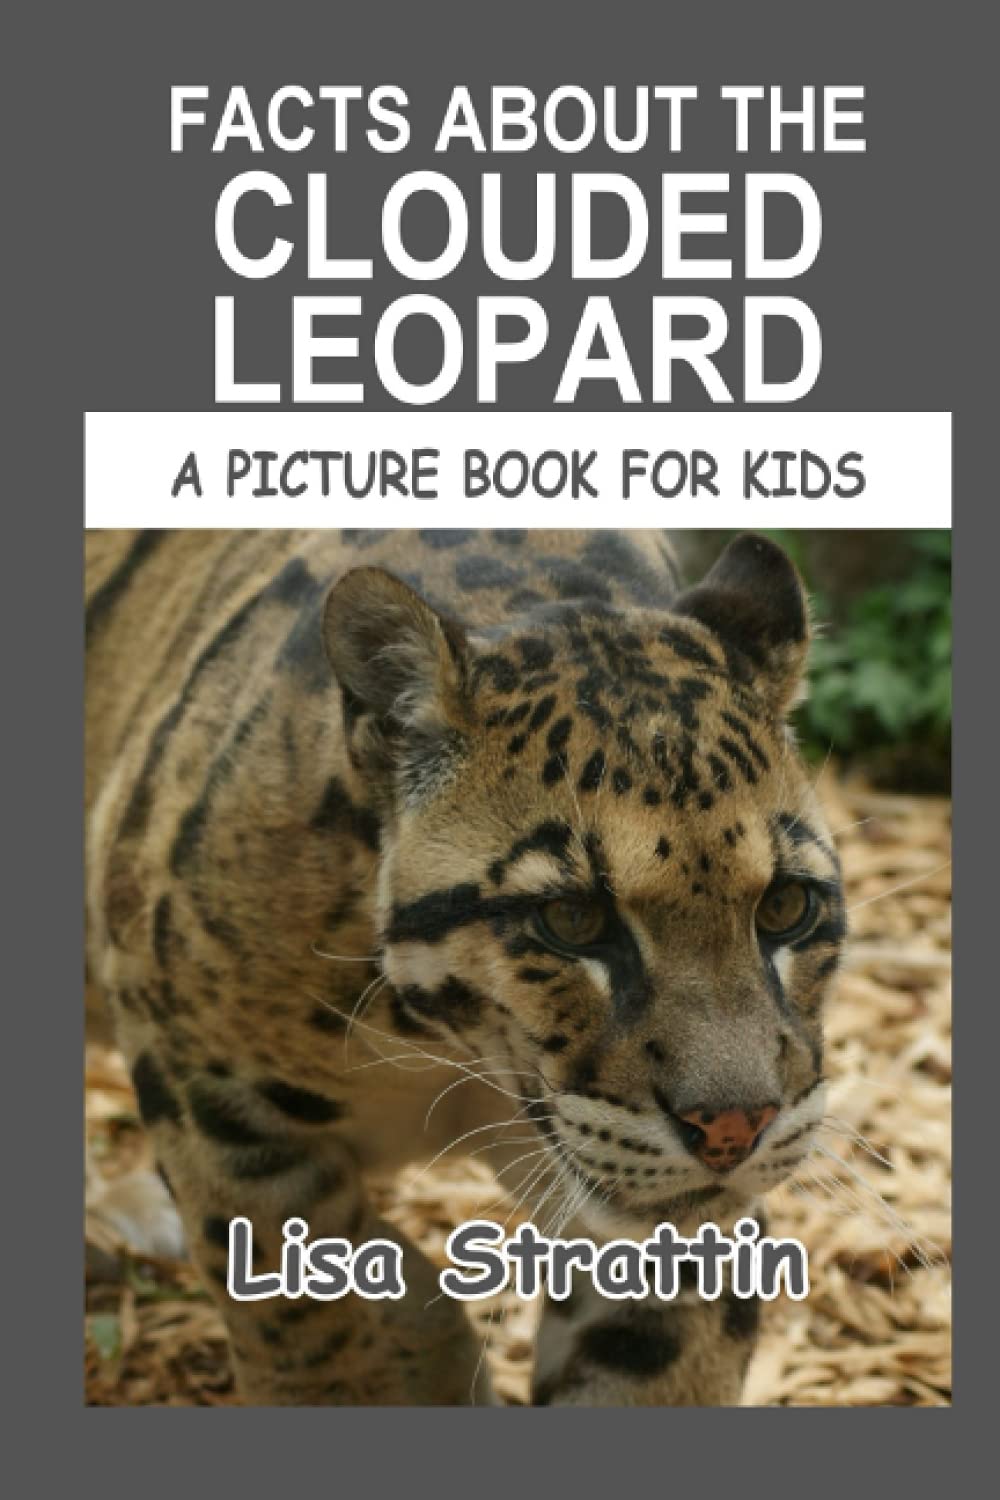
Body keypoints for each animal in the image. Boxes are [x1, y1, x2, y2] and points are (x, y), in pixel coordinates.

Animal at [85, 527, 844, 1406]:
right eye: (572, 918)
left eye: (785, 906)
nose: (734, 1129)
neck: (432, 1047)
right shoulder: (203, 1084)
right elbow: (306, 1312)